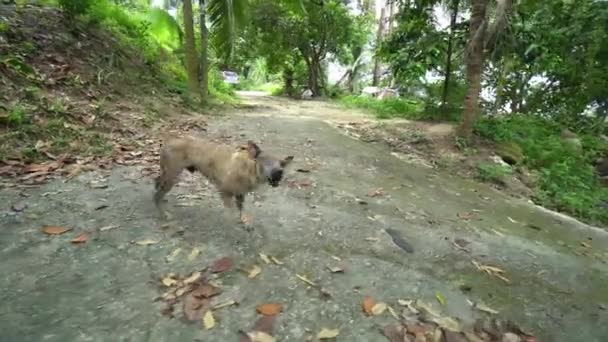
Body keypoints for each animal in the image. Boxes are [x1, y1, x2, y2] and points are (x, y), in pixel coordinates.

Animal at [153, 136, 294, 230]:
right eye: (265, 162)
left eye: (282, 165)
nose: (279, 173)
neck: (249, 169)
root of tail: (168, 142)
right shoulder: (225, 192)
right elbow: (232, 211)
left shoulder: (240, 194)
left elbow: (241, 210)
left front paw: (245, 221)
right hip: (172, 176)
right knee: (157, 194)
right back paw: (162, 212)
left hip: (167, 174)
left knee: (157, 183)